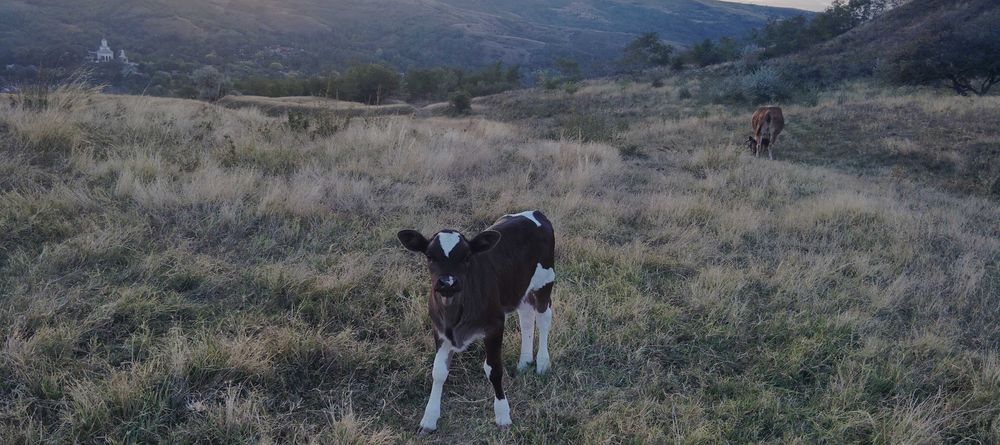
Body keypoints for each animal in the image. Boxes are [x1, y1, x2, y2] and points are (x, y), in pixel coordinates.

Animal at [397, 210, 556, 433]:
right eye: (430, 256)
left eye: (466, 257)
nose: (447, 283)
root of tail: (535, 212)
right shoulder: (440, 330)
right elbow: (438, 372)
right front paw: (429, 418)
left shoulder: (495, 325)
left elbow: (494, 369)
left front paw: (503, 415)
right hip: (519, 288)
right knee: (526, 318)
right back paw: (524, 362)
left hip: (545, 280)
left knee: (543, 319)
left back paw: (542, 363)